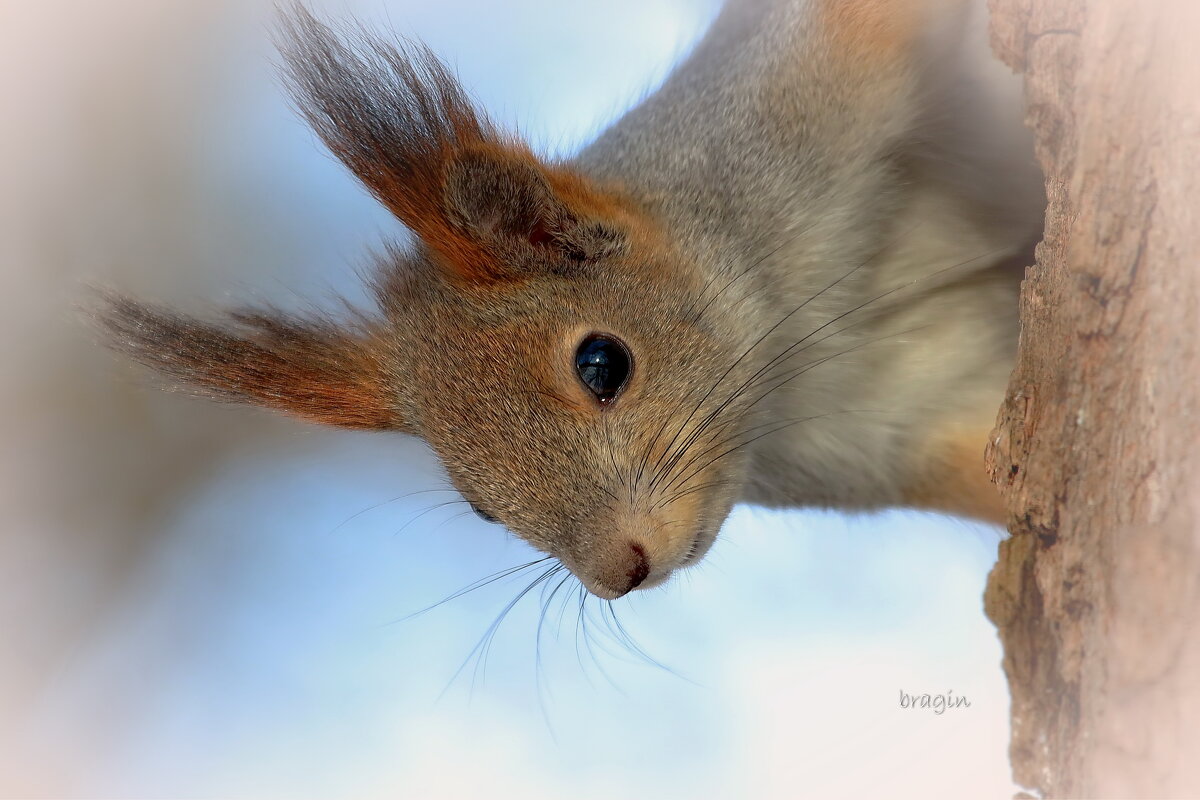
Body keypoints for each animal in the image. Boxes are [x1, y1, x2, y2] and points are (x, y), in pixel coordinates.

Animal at [100, 0, 1041, 599]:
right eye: (479, 505)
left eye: (603, 363)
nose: (619, 574)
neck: (792, 333)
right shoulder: (888, 441)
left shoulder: (794, 89)